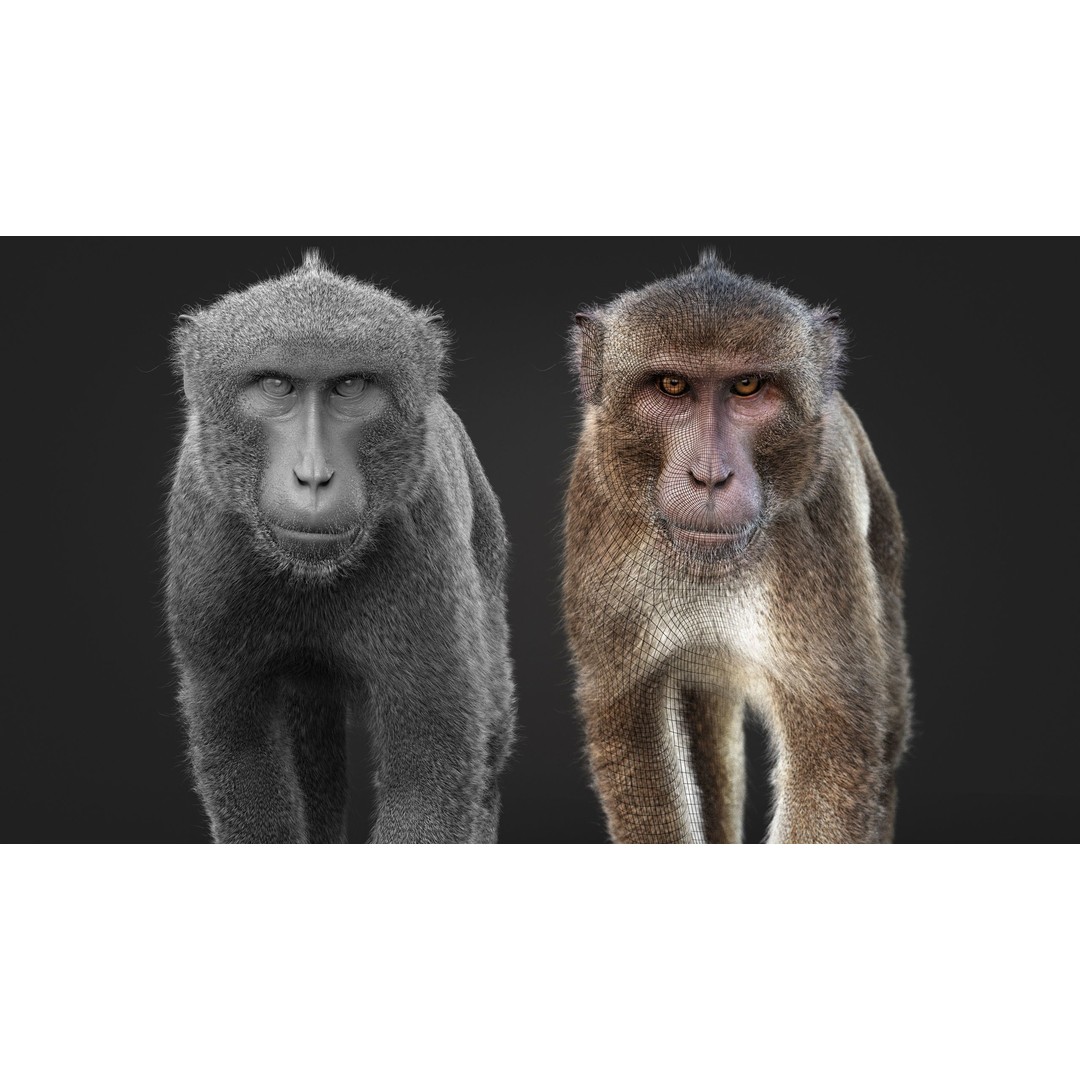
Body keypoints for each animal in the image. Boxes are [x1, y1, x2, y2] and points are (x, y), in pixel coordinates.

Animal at [165, 250, 515, 843]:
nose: (313, 476)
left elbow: (431, 766)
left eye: (350, 387)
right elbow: (239, 746)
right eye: (276, 385)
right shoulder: (208, 550)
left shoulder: (425, 542)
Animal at [562, 252, 911, 843]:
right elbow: (631, 720)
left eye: (747, 386)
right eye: (672, 385)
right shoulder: (599, 505)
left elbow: (836, 745)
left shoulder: (817, 526)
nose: (709, 476)